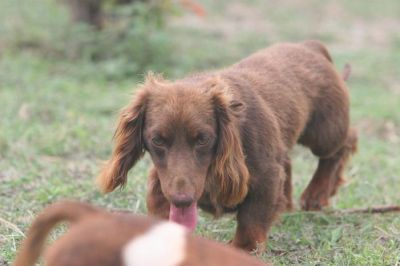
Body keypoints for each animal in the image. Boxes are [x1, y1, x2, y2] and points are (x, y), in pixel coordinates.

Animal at [97, 40, 360, 251]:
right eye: (158, 140)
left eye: (203, 139)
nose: (182, 201)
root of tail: (310, 46)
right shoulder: (162, 181)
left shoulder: (265, 177)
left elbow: (252, 220)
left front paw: (242, 249)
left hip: (323, 134)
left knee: (344, 143)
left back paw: (317, 193)